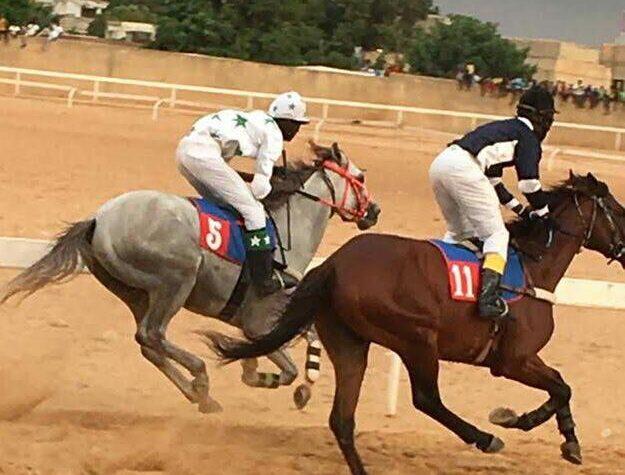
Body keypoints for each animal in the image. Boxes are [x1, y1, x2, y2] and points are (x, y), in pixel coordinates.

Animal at [0, 141, 378, 412]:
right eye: (360, 178)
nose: (374, 211)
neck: (288, 232)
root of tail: (98, 219)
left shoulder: (260, 320)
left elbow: (292, 346)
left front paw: (258, 370)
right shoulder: (260, 319)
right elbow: (288, 363)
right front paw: (269, 376)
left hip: (134, 292)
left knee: (148, 344)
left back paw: (202, 397)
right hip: (175, 279)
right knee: (152, 335)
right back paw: (200, 377)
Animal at [207, 173, 624, 474]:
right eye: (618, 210)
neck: (534, 269)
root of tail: (334, 264)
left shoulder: (520, 359)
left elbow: (561, 386)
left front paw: (568, 441)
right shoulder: (513, 360)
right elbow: (561, 387)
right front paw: (514, 420)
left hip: (350, 343)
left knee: (342, 419)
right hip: (416, 338)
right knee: (426, 398)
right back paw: (484, 438)